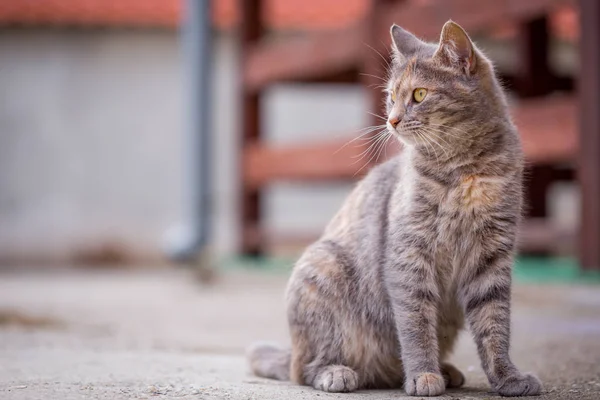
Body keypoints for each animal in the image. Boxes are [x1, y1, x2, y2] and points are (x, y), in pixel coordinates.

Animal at [246, 21, 540, 396]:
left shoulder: (492, 257)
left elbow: (495, 325)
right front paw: (422, 376)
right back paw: (338, 373)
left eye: (419, 94)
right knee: (305, 367)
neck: (463, 171)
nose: (392, 119)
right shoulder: (409, 255)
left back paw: (446, 371)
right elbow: (415, 324)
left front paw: (508, 378)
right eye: (391, 97)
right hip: (322, 269)